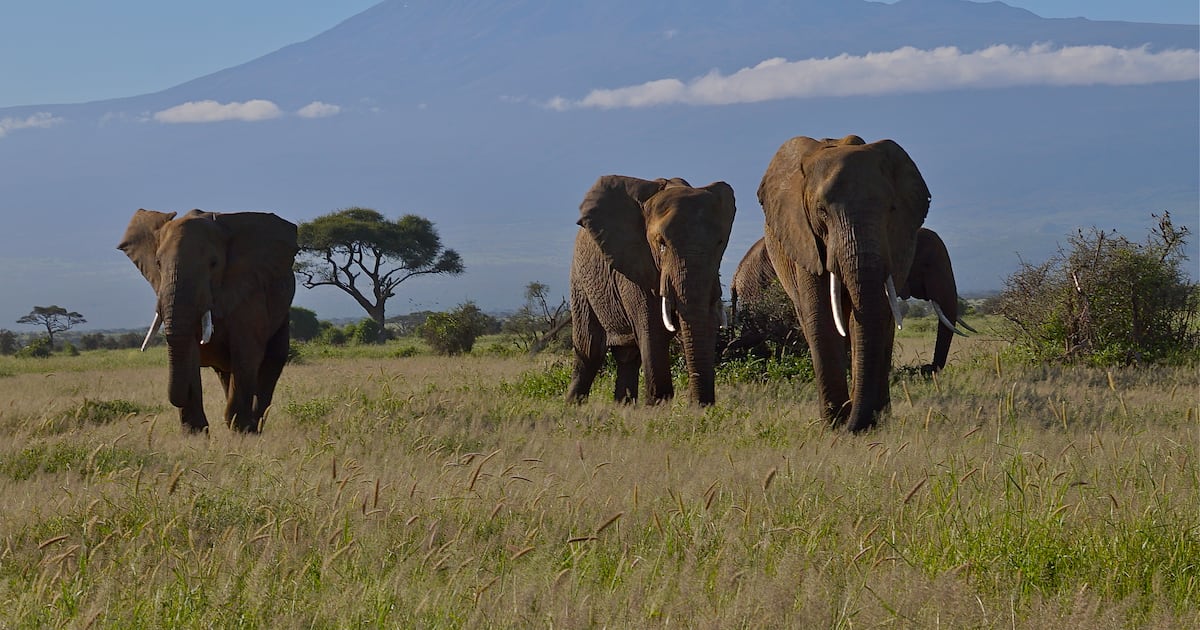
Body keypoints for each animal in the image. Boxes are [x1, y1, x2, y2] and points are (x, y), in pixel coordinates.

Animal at [118, 209, 298, 433]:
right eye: (158, 263)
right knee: (225, 371)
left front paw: (240, 429)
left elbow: (246, 355)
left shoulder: (250, 292)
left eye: (213, 264)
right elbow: (189, 352)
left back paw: (253, 426)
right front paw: (195, 433)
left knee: (272, 361)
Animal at [567, 175, 736, 406]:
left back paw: (624, 407)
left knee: (626, 356)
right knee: (589, 351)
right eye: (661, 244)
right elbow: (654, 332)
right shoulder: (634, 266)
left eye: (720, 243)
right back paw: (572, 407)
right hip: (581, 281)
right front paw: (658, 406)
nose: (698, 405)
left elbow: (706, 321)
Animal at [758, 135, 930, 432]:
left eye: (891, 209)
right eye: (821, 212)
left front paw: (863, 420)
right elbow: (822, 317)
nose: (854, 422)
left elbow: (874, 317)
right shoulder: (805, 238)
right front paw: (834, 422)